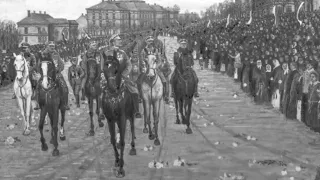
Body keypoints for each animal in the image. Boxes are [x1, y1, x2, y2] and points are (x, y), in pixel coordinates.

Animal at [102, 51, 136, 179]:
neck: (113, 97)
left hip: (130, 115)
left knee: (132, 127)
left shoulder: (122, 118)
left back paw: (133, 148)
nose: (112, 87)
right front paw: (117, 161)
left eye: (116, 70)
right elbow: (112, 140)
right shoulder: (110, 119)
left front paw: (121, 169)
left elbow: (121, 142)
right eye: (104, 68)